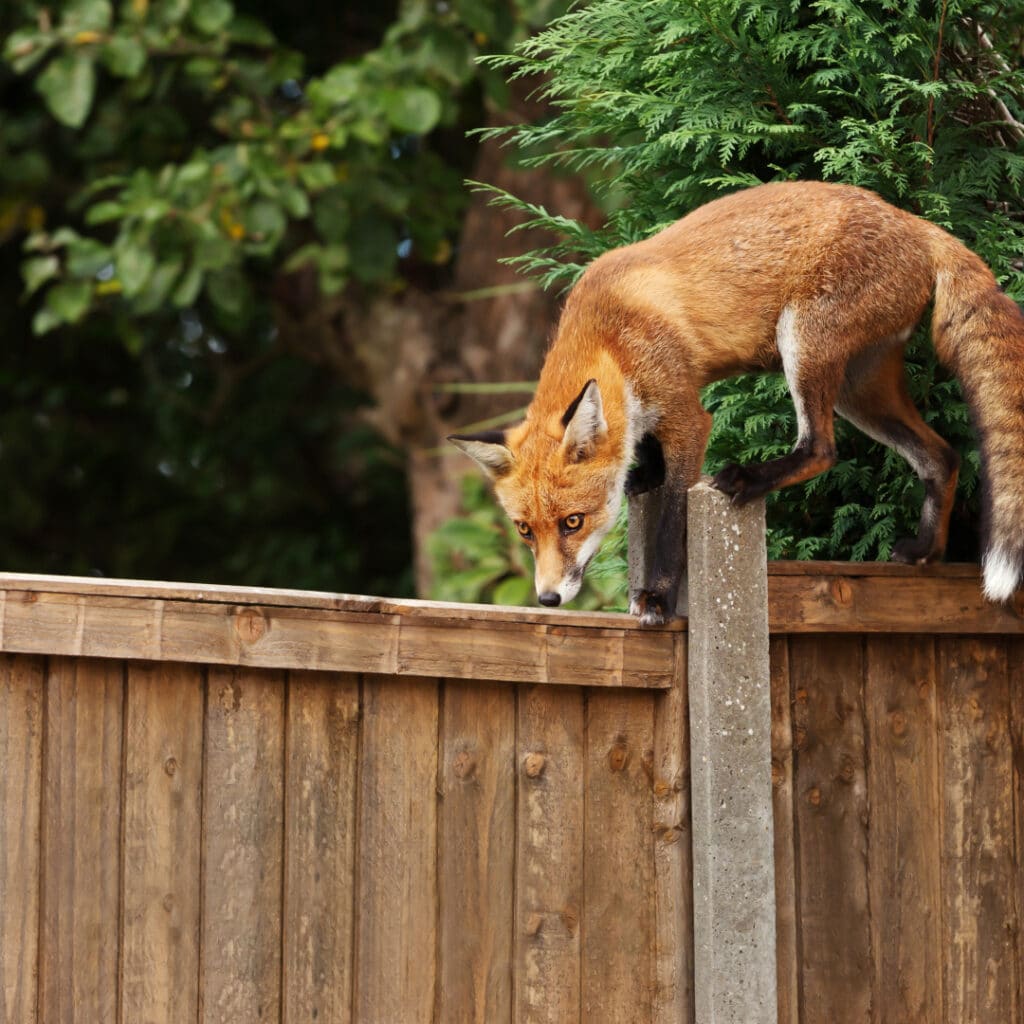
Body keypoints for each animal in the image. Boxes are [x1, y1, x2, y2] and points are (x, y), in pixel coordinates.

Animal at [448, 178, 1024, 622]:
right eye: (524, 530)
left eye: (573, 522)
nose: (547, 599)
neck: (612, 336)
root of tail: (916, 222)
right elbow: (647, 463)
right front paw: (643, 473)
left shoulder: (688, 416)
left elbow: (670, 523)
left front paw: (656, 598)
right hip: (861, 392)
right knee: (941, 456)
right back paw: (926, 550)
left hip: (804, 346)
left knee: (821, 449)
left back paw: (751, 479)